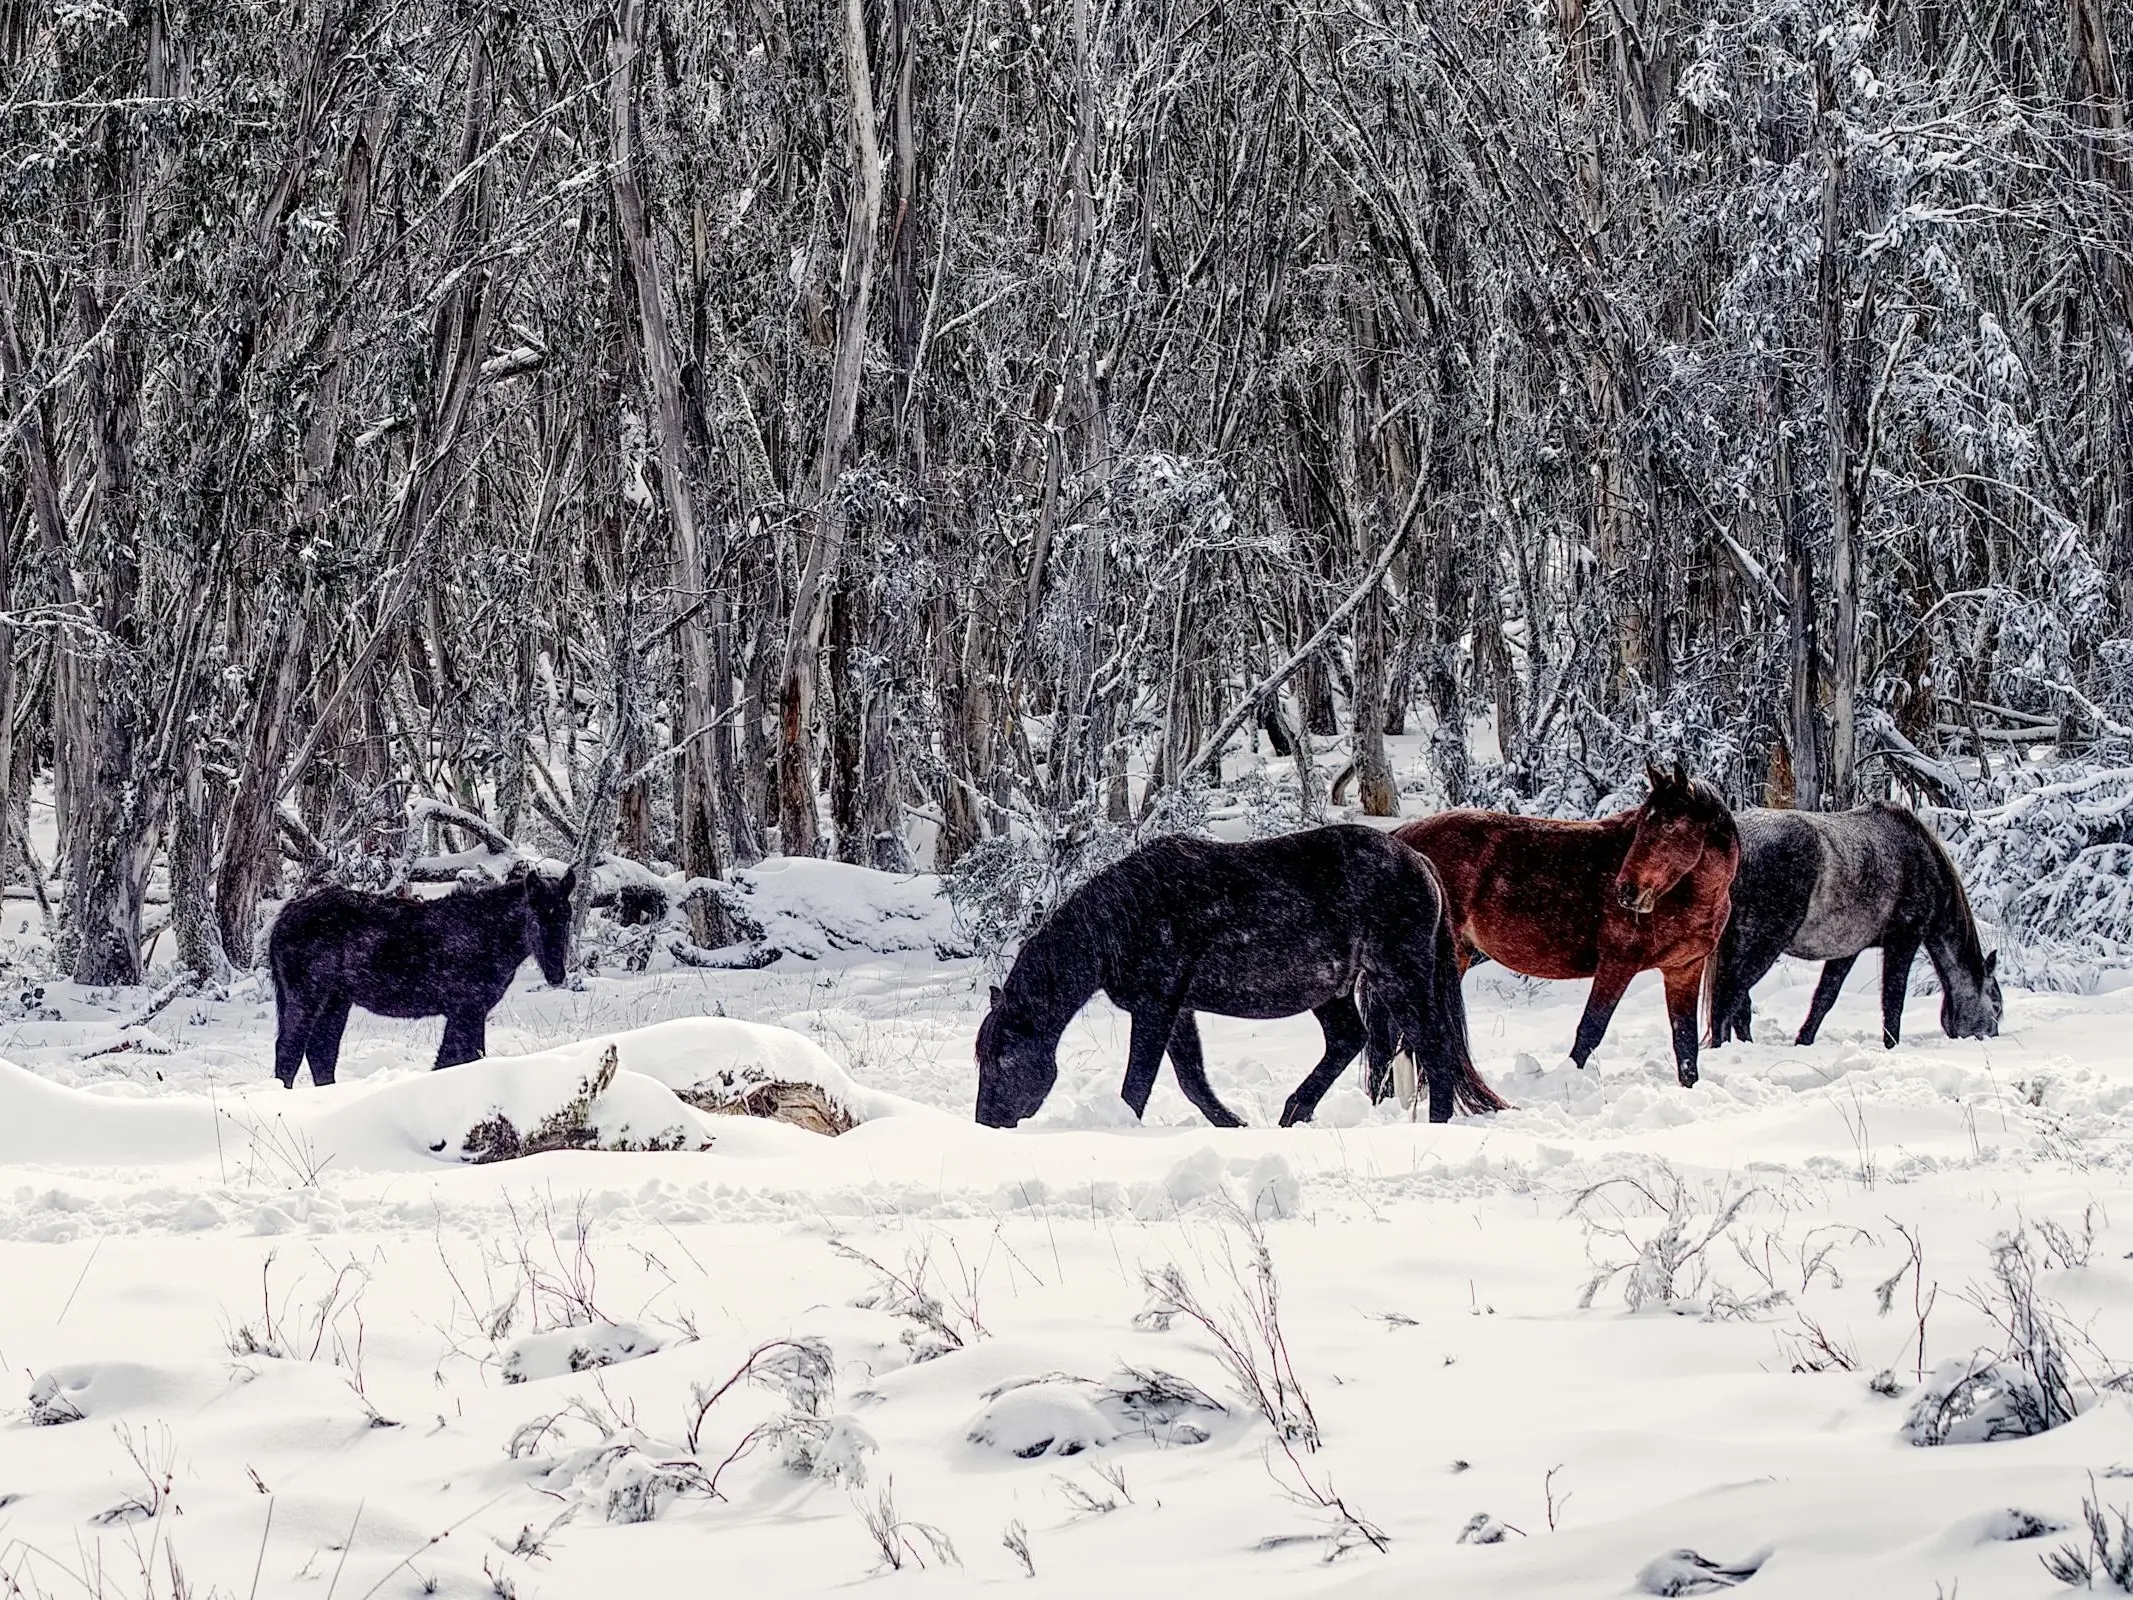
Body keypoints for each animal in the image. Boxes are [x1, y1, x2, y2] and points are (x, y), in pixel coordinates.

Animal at [268, 867, 577, 1087]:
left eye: (566, 917)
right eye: (535, 919)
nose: (556, 974)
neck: (488, 936)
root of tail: (283, 919)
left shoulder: (467, 1011)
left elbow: (452, 1059)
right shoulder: (467, 1009)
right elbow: (462, 1057)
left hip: (336, 1001)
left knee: (321, 1053)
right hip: (307, 996)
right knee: (289, 1051)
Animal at [973, 825, 1505, 1129]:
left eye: (1002, 1059)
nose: (986, 1122)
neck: (1122, 920)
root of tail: (1420, 863)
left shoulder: (1156, 1006)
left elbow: (1138, 1083)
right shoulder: (1177, 1009)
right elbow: (1191, 1078)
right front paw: (1231, 1124)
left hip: (1399, 979)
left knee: (1434, 1047)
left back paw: (1434, 1123)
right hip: (1332, 990)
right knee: (1347, 1041)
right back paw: (1295, 1112)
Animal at [1394, 762, 1739, 1089]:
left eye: (1668, 825)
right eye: (1642, 824)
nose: (1626, 891)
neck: (1689, 897)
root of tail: (1402, 839)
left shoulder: (1684, 970)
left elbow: (1685, 1043)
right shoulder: (1618, 963)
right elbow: (1590, 1029)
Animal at [1707, 803, 2001, 1049]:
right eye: (1996, 1005)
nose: (1992, 1038)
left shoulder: (1847, 949)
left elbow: (1825, 997)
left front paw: (1804, 1041)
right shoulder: (1904, 939)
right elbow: (1893, 999)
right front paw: (1891, 1045)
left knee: (1737, 1003)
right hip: (1764, 943)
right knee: (1729, 997)